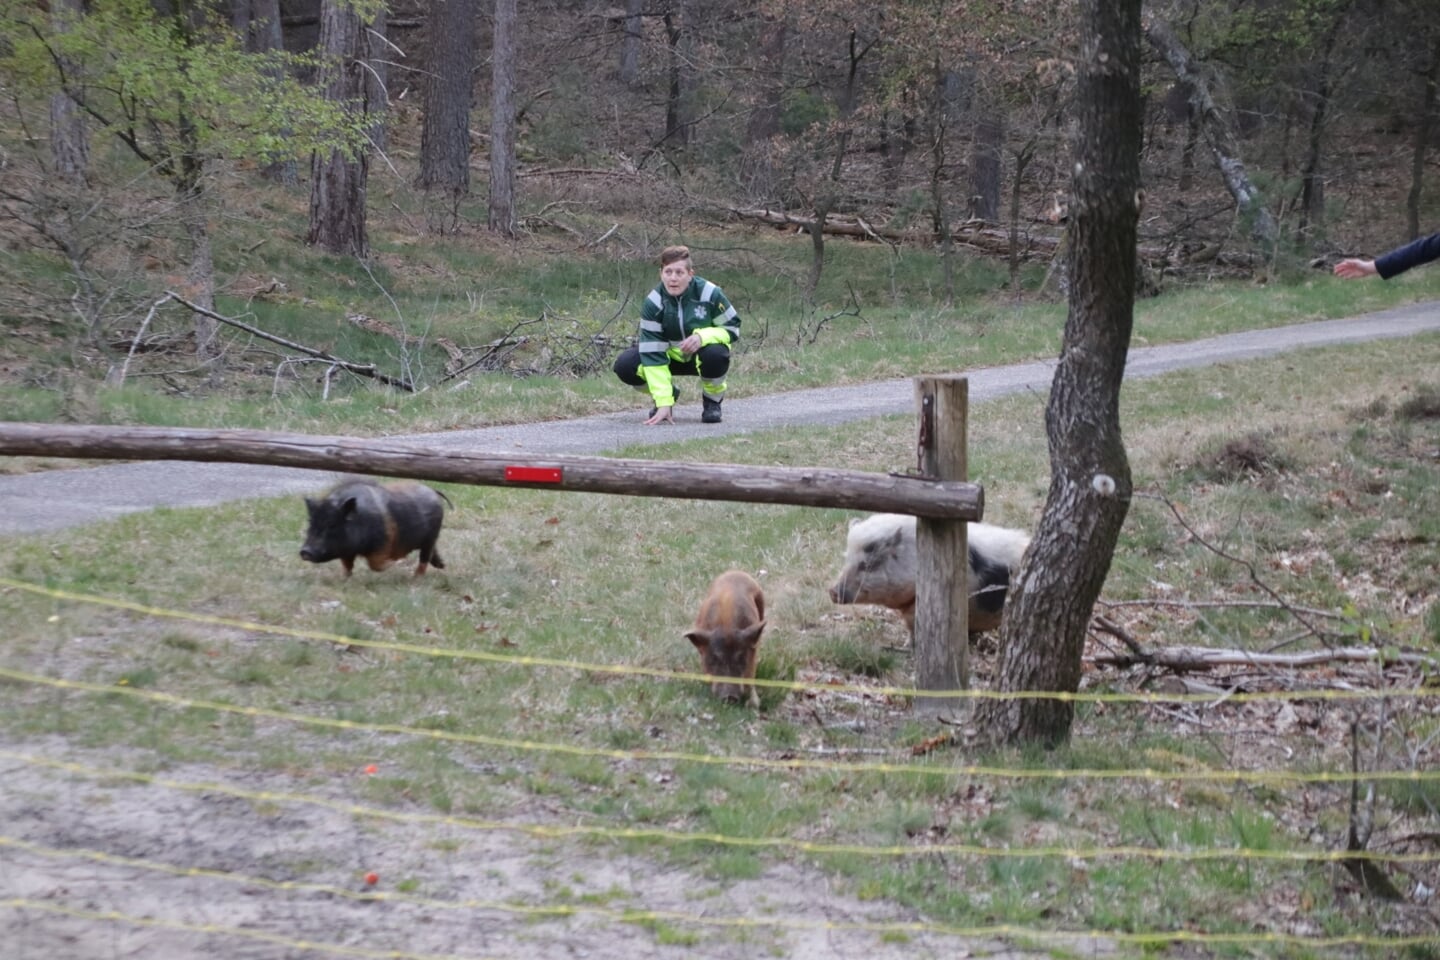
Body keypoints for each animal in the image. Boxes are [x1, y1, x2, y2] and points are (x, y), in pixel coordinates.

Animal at [306, 480, 452, 578]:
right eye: (311, 524)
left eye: (332, 525)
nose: (304, 551)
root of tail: (433, 491)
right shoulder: (346, 551)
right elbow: (347, 565)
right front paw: (344, 578)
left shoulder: (383, 543)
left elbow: (375, 565)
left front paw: (392, 563)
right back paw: (442, 565)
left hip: (431, 536)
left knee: (424, 558)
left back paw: (416, 578)